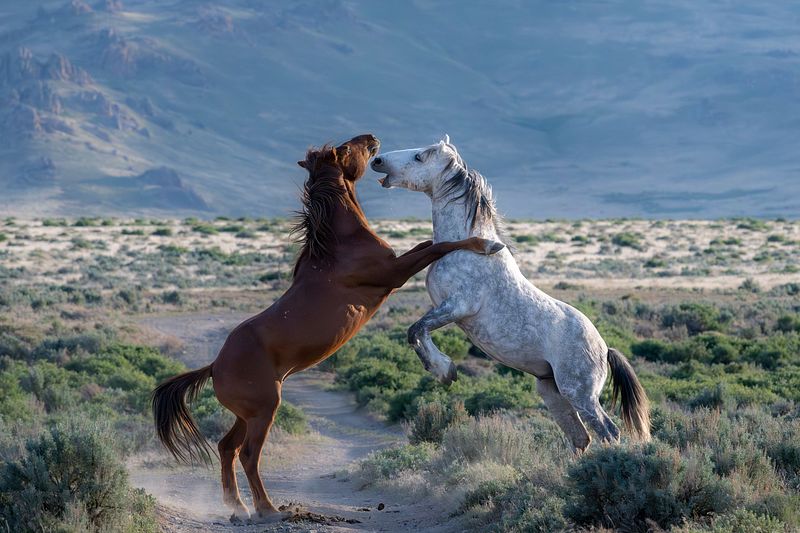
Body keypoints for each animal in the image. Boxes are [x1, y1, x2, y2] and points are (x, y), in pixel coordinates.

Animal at [151, 133, 505, 522]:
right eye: (346, 149)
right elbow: (440, 246)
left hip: (247, 413)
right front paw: (488, 244)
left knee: (226, 447)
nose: (372, 140)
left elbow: (429, 244)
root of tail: (214, 365)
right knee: (248, 455)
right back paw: (268, 510)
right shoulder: (393, 273)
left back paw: (238, 507)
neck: (339, 246)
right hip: (264, 410)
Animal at [371, 135, 650, 451]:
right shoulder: (447, 308)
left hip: (579, 393)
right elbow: (416, 331)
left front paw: (445, 371)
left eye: (419, 157)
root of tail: (605, 349)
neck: (468, 246)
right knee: (581, 438)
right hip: (552, 391)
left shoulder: (456, 306)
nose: (377, 160)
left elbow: (416, 330)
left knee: (608, 431)